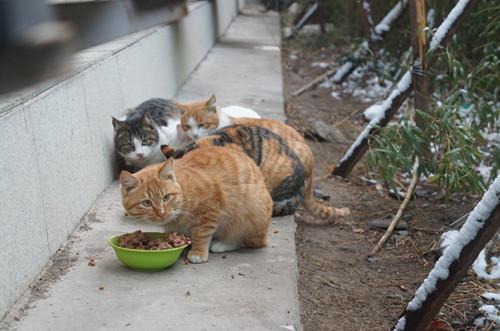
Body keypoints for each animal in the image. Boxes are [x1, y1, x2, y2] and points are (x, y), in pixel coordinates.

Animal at [118, 146, 272, 264]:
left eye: (166, 197)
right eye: (147, 203)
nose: (161, 213)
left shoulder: (210, 210)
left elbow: (201, 233)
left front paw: (197, 252)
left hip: (249, 213)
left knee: (246, 240)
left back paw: (223, 244)